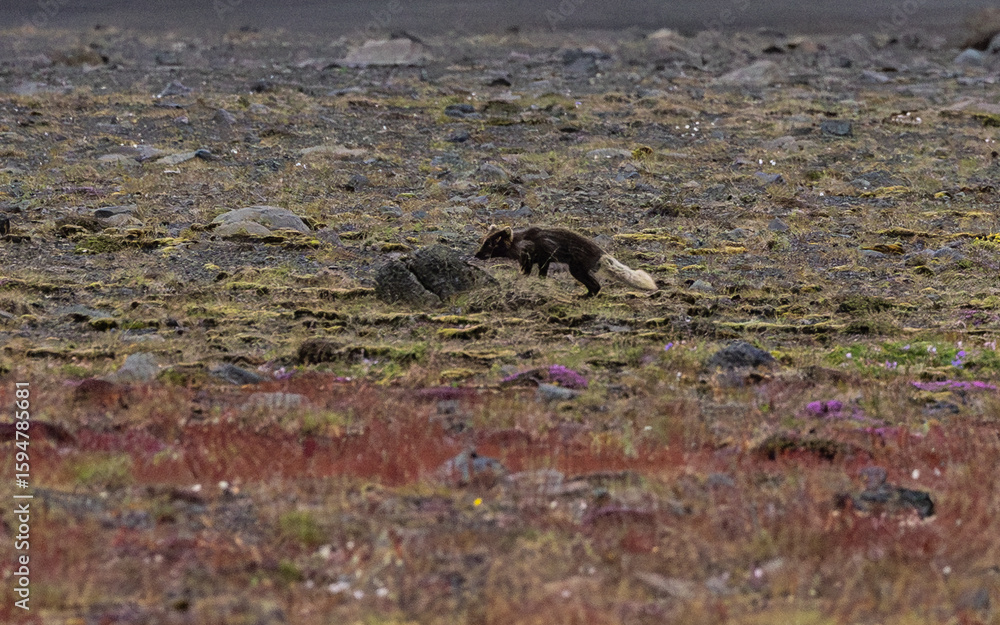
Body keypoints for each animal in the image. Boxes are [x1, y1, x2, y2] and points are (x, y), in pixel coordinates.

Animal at [474, 225, 657, 297]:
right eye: (483, 241)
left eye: (490, 244)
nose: (476, 255)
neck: (520, 243)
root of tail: (601, 252)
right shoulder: (538, 261)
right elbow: (537, 274)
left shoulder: (538, 257)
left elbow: (531, 273)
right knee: (595, 286)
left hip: (576, 269)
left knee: (596, 285)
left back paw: (585, 297)